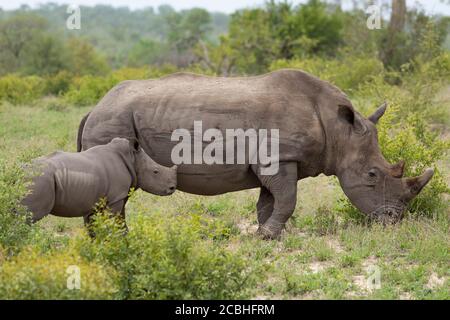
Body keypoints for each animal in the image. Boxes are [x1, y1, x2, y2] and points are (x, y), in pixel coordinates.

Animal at [21, 138, 176, 230]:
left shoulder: (94, 202)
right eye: (155, 171)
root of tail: (20, 171)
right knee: (28, 218)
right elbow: (115, 222)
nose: (172, 188)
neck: (132, 159)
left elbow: (93, 228)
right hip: (38, 180)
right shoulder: (116, 198)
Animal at [77, 70, 432, 240]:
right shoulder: (279, 157)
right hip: (114, 120)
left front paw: (266, 233)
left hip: (114, 119)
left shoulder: (276, 160)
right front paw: (269, 236)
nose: (394, 220)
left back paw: (106, 239)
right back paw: (114, 240)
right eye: (372, 175)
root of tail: (95, 106)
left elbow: (270, 201)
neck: (336, 129)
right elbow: (287, 199)